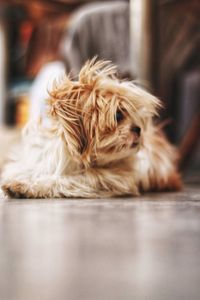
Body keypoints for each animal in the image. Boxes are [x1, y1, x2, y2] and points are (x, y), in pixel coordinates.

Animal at [0, 58, 181, 199]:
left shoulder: (110, 179)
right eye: (118, 115)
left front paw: (29, 186)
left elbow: (62, 180)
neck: (73, 159)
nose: (138, 129)